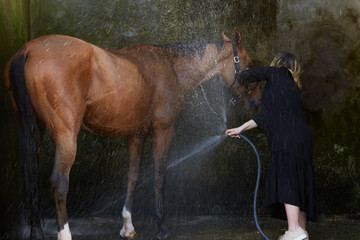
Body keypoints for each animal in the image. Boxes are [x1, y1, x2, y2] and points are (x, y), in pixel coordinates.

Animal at [4, 30, 260, 240]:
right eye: (249, 65)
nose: (256, 103)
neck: (169, 66)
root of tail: (27, 51)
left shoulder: (135, 135)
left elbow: (132, 176)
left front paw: (127, 225)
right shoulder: (163, 130)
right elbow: (159, 175)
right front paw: (162, 227)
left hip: (35, 131)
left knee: (31, 179)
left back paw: (36, 233)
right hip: (66, 135)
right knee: (59, 182)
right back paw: (64, 233)